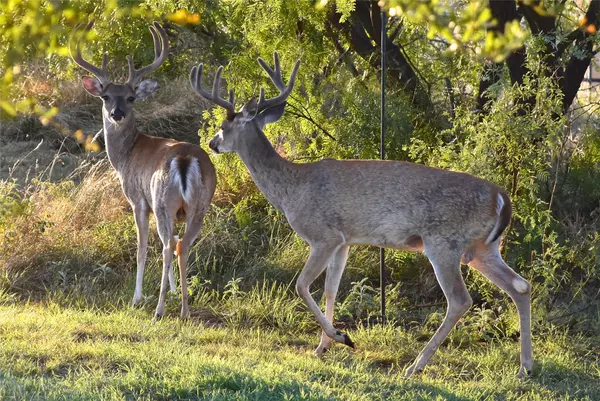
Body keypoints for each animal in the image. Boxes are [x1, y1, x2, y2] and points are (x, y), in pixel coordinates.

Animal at [71, 21, 216, 318]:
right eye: (105, 96)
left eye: (131, 97)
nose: (116, 114)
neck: (127, 154)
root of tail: (185, 158)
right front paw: (174, 291)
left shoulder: (137, 200)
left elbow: (141, 247)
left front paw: (137, 297)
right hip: (199, 206)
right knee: (181, 245)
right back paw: (184, 309)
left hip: (162, 201)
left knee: (167, 245)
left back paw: (159, 310)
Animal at [190, 52, 532, 376]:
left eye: (223, 128)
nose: (210, 143)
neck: (291, 189)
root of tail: (502, 198)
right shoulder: (345, 240)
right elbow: (330, 289)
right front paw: (323, 346)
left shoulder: (323, 235)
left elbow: (301, 285)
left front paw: (341, 337)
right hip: (483, 249)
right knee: (520, 286)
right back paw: (525, 366)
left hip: (444, 242)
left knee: (460, 300)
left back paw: (416, 365)